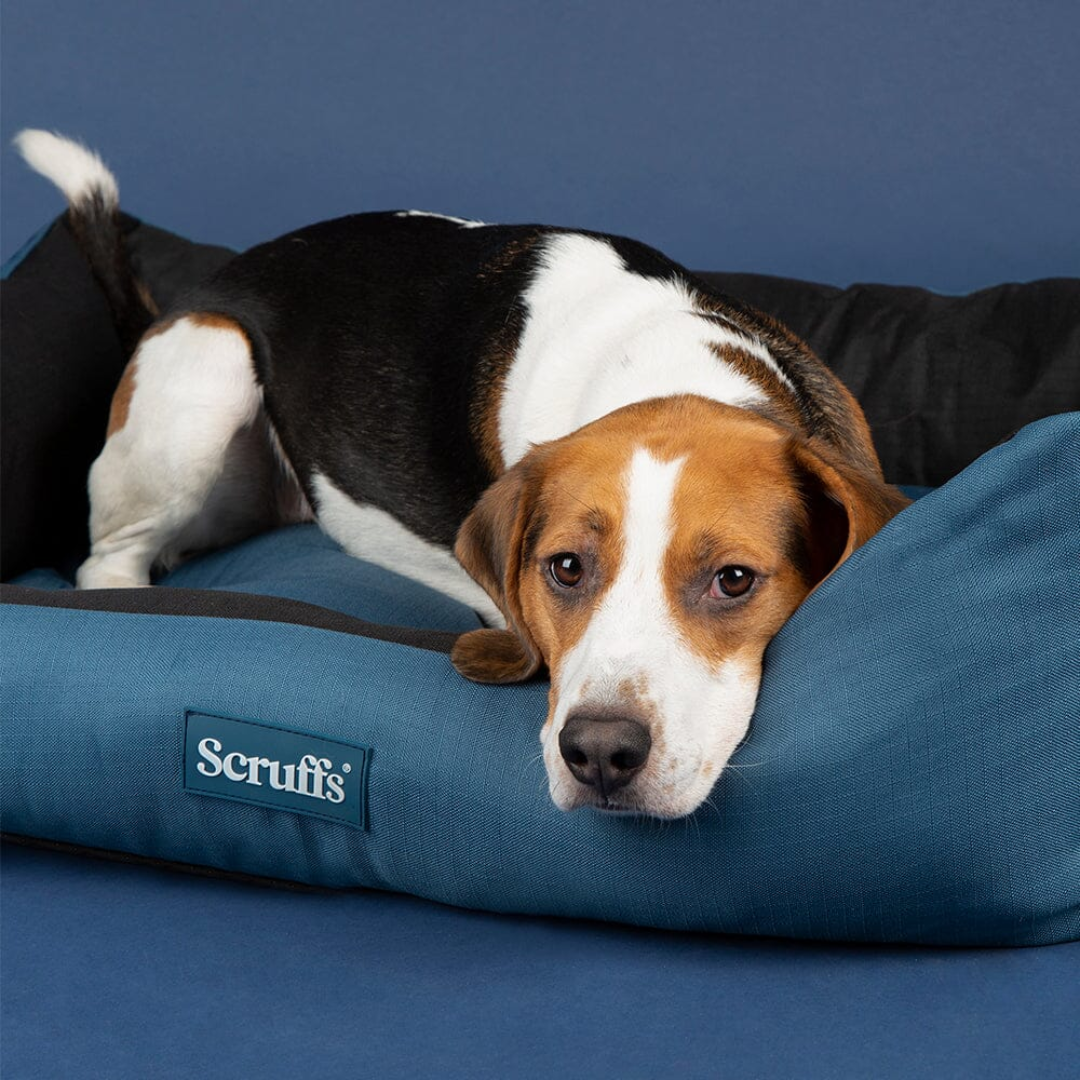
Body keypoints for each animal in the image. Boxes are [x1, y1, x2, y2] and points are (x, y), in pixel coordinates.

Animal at [16, 128, 911, 816]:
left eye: (733, 580)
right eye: (565, 568)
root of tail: (186, 294)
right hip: (210, 363)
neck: (673, 370)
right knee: (106, 559)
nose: (600, 751)